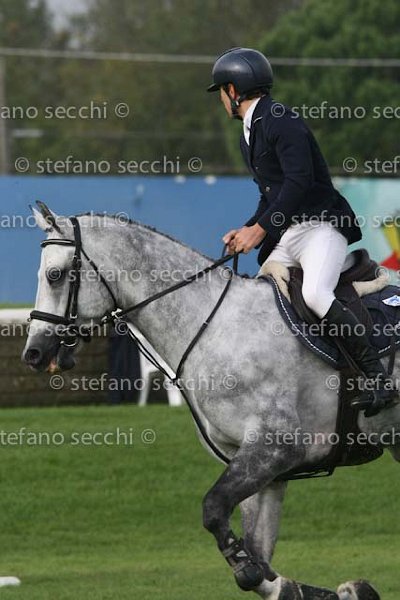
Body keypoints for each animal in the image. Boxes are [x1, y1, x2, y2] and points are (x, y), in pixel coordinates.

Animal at [22, 202, 398, 600]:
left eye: (55, 275)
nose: (33, 353)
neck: (213, 327)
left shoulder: (277, 448)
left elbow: (216, 512)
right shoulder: (259, 466)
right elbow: (261, 560)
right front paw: (327, 589)